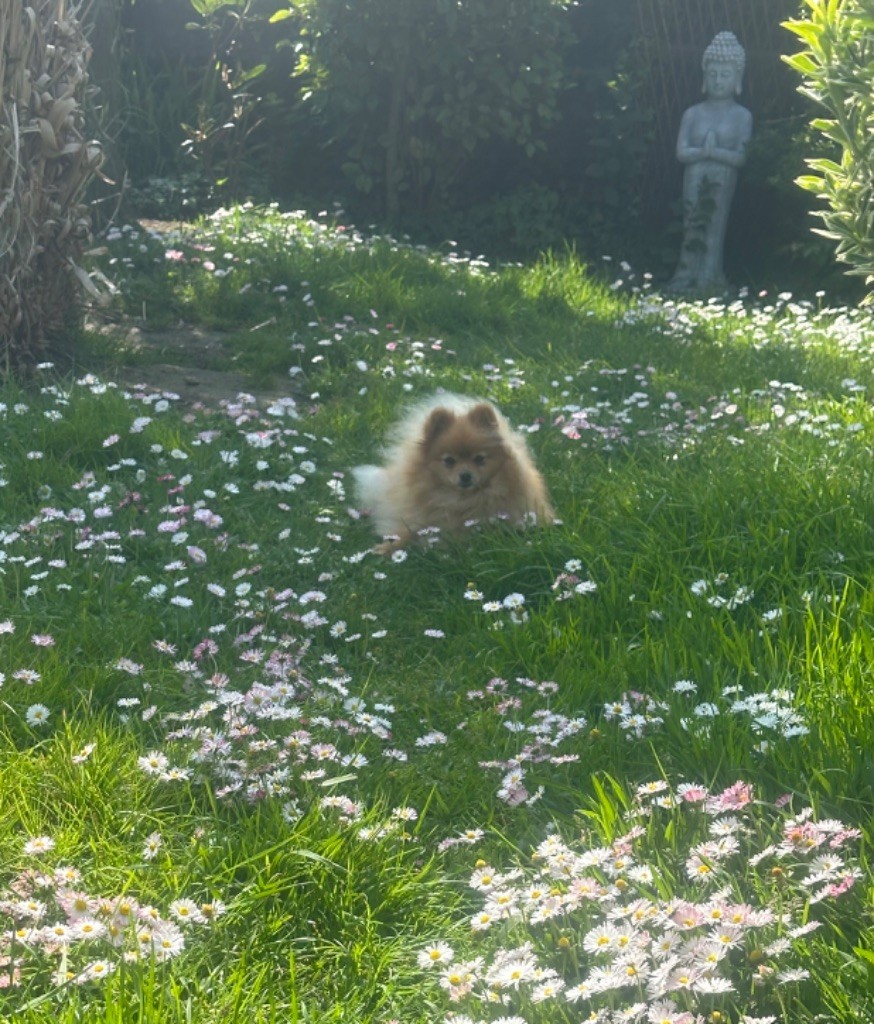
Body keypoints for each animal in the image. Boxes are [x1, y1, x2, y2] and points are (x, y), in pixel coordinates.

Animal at [352, 394, 554, 554]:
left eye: (479, 459)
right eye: (449, 461)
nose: (465, 475)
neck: (461, 500)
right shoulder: (417, 519)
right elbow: (405, 532)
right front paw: (387, 548)